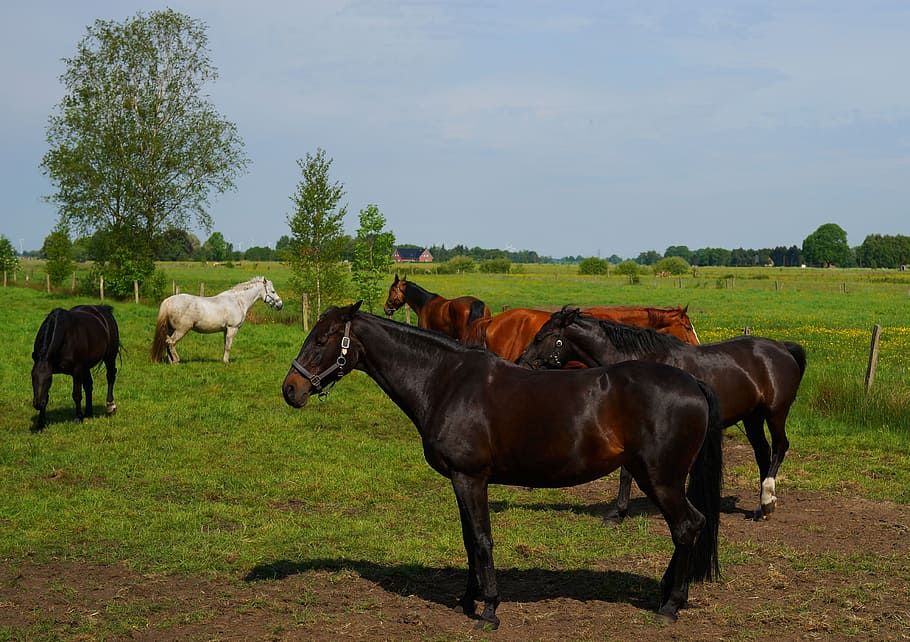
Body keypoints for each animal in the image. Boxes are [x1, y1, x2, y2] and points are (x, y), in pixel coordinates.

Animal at [151, 276, 283, 364]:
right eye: (273, 291)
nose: (280, 305)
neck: (238, 301)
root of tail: (169, 301)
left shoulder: (225, 330)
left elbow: (225, 345)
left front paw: (223, 360)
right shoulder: (232, 328)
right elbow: (229, 346)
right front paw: (226, 362)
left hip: (171, 329)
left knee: (167, 342)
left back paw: (171, 361)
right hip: (181, 329)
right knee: (171, 342)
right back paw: (176, 361)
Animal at [282, 302, 723, 628]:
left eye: (322, 339)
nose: (291, 389)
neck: (446, 382)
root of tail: (692, 383)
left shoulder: (470, 478)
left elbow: (482, 540)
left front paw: (489, 610)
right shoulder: (461, 481)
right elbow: (468, 540)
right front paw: (467, 599)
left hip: (660, 479)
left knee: (687, 527)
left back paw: (670, 606)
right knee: (692, 526)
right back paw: (668, 592)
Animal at [518, 307, 807, 521]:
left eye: (541, 336)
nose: (522, 364)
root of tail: (782, 347)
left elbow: (626, 472)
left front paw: (617, 513)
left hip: (775, 413)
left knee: (780, 447)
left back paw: (767, 500)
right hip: (752, 417)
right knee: (762, 452)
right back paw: (761, 507)